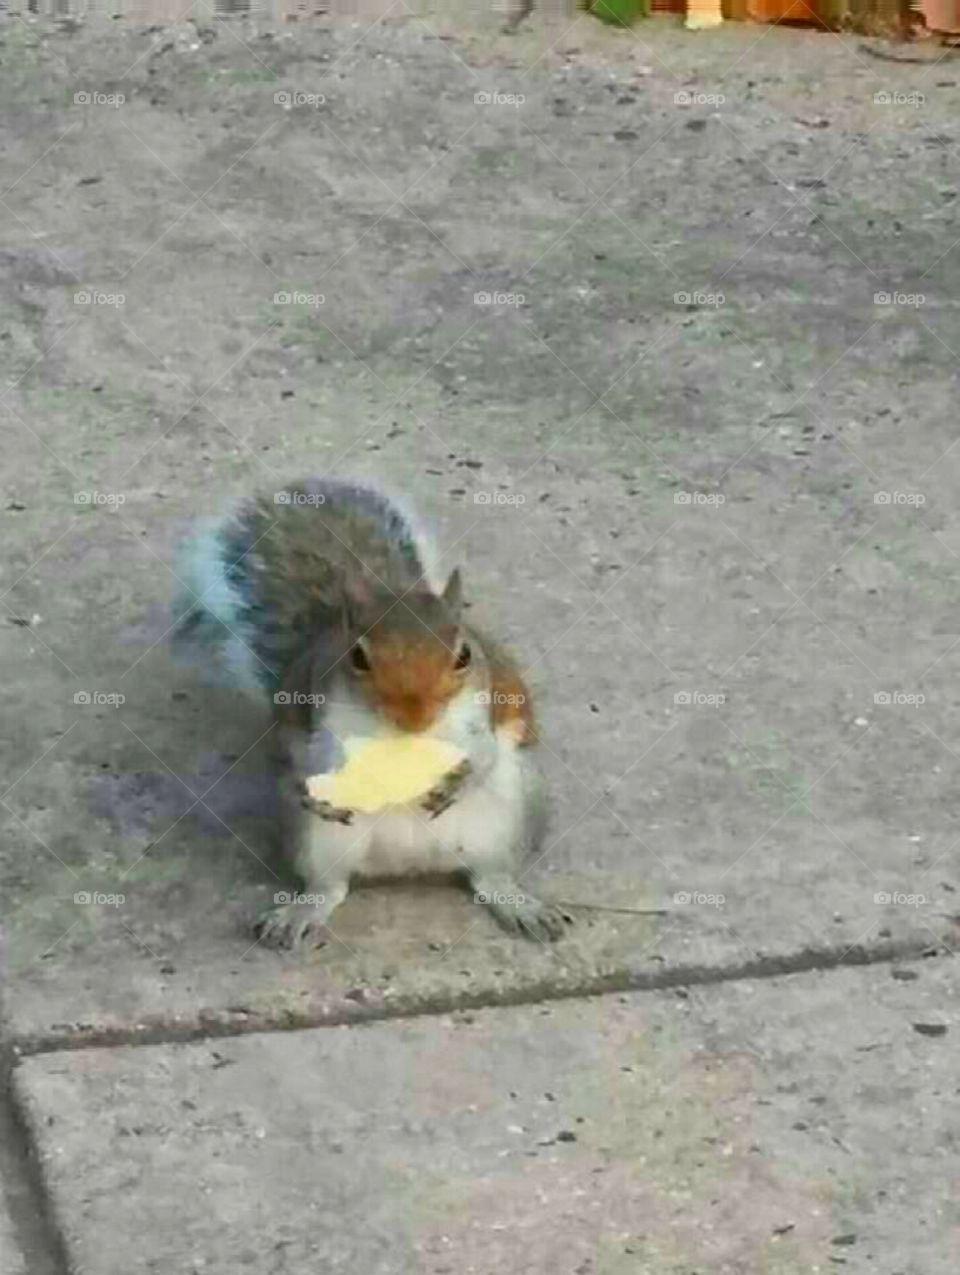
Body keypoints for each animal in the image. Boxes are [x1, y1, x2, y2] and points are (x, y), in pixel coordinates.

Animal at [172, 477, 570, 949]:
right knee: (329, 886)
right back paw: (301, 912)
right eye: (358, 657)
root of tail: (409, 863)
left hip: (510, 815)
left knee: (490, 877)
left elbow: (486, 753)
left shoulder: (484, 711)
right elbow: (295, 754)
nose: (415, 717)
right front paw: (309, 789)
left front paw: (460, 781)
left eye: (465, 655)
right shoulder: (312, 713)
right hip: (314, 841)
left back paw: (520, 905)